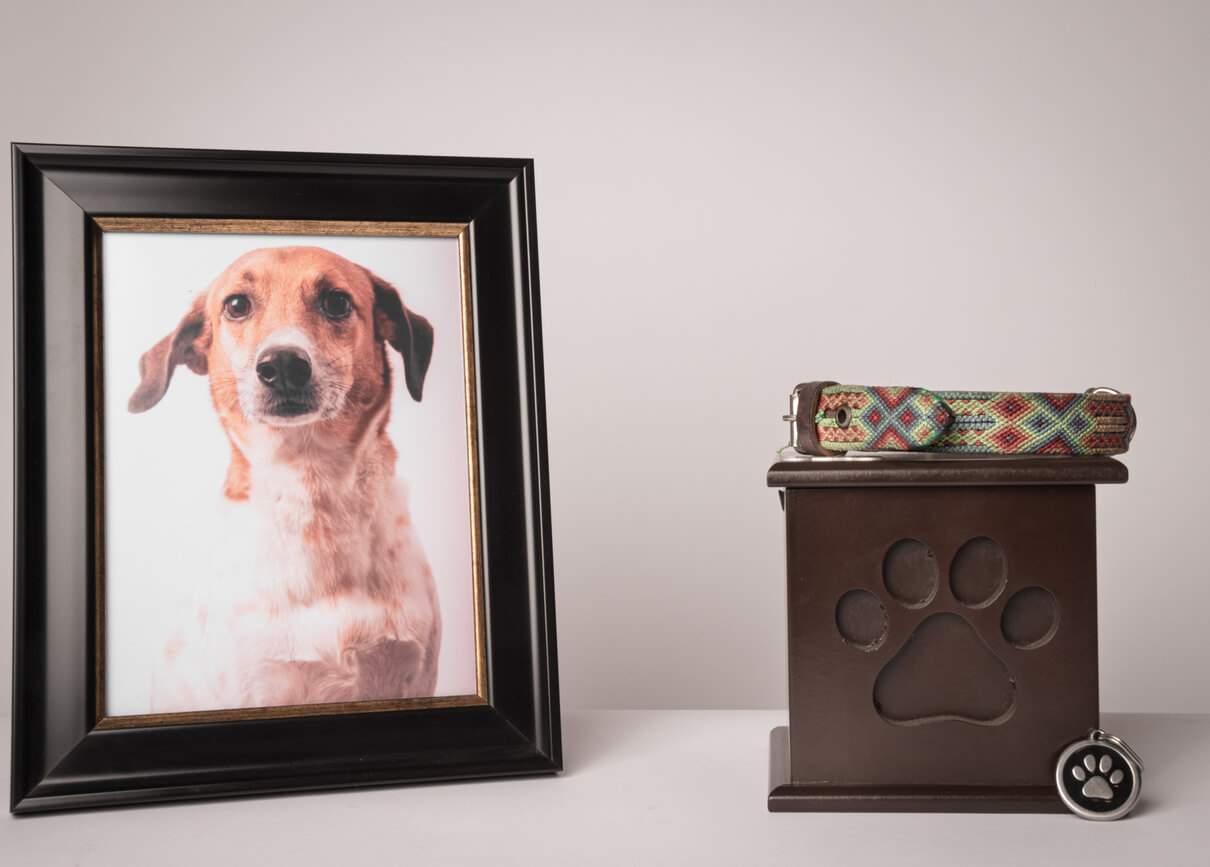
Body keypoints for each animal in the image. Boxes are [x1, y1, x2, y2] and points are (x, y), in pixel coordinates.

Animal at [130, 243, 442, 711]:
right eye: (236, 305)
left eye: (337, 301)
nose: (282, 364)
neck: (314, 491)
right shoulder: (255, 686)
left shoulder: (415, 676)